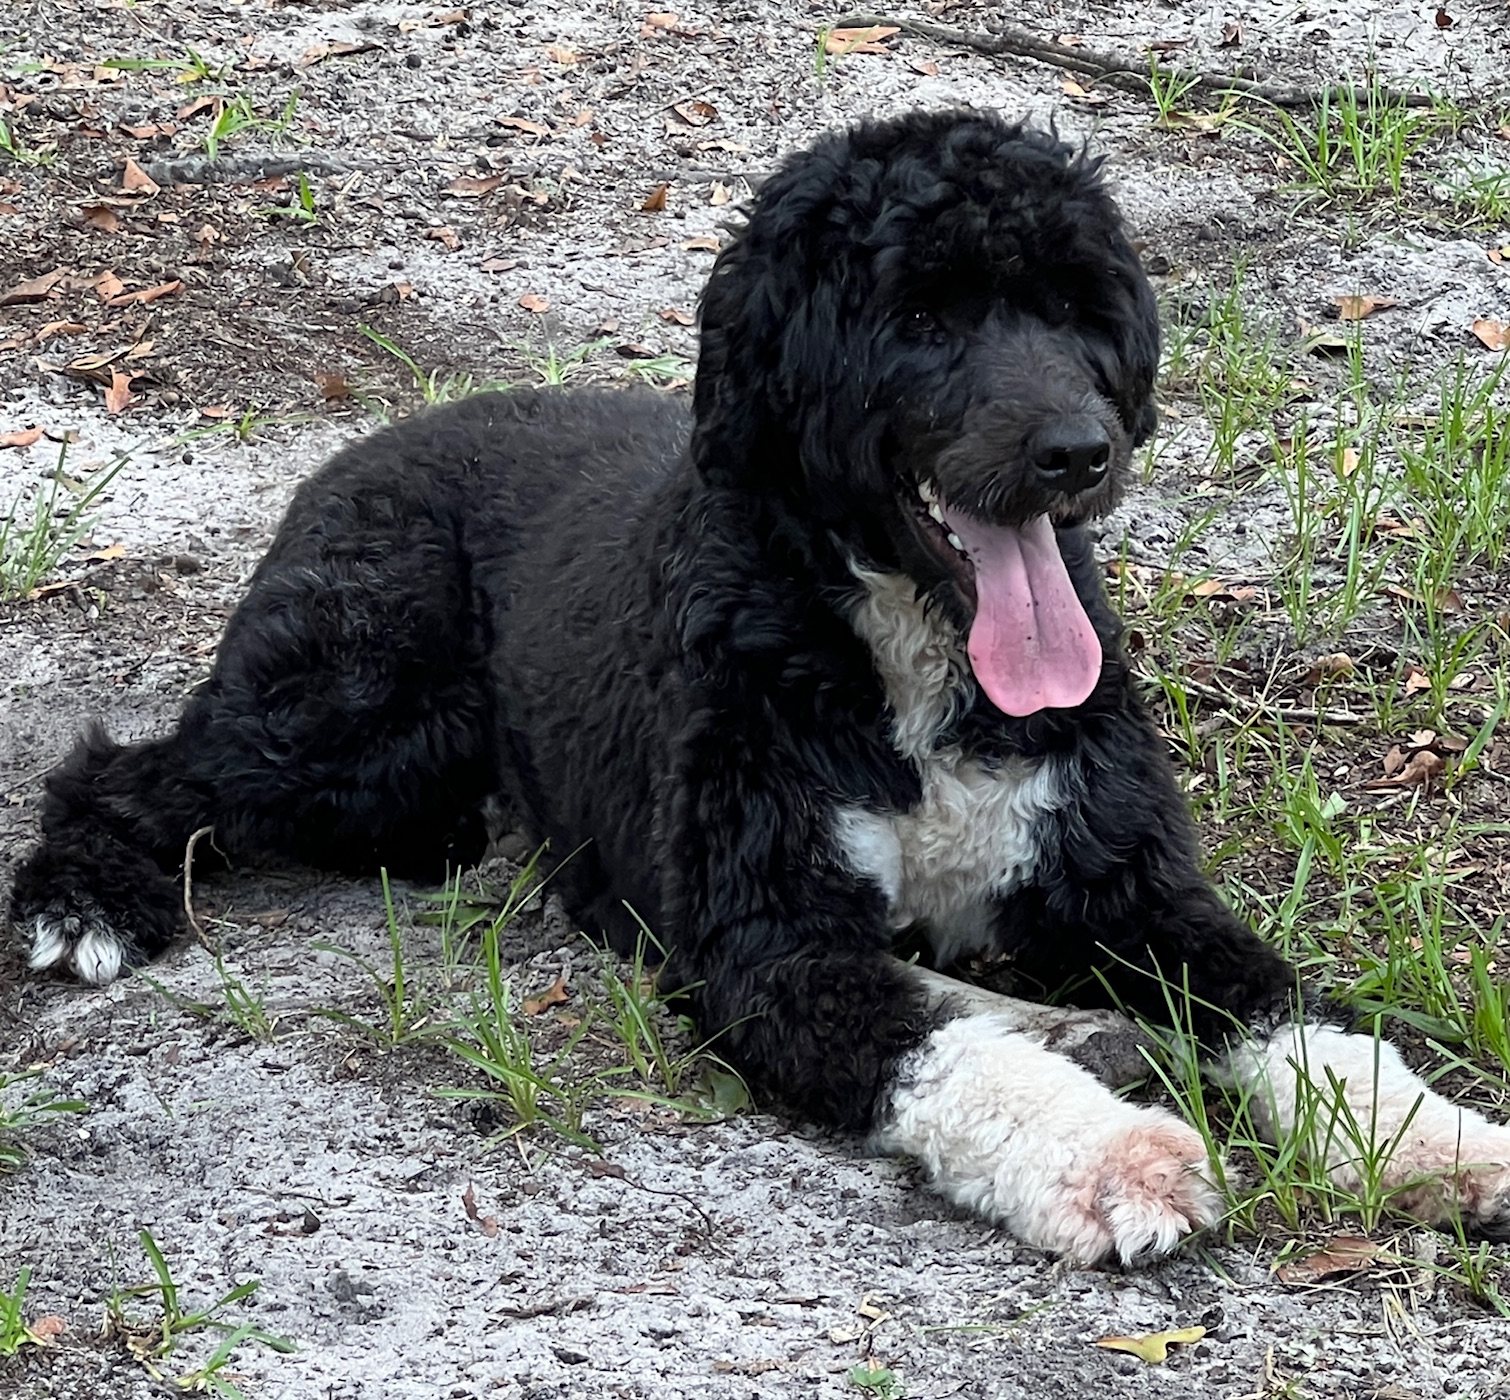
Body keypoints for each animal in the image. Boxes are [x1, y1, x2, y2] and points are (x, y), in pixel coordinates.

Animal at [11, 114, 1510, 1262]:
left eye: (1078, 304)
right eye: (921, 316)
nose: (1080, 451)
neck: (903, 656)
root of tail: (369, 444)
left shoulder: (1127, 885)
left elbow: (1281, 1002)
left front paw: (1429, 1134)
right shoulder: (769, 941)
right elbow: (931, 1050)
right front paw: (1109, 1159)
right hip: (356, 722)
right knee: (131, 770)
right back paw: (85, 895)